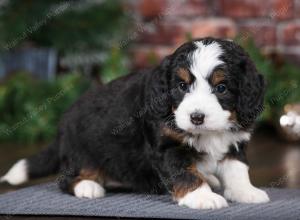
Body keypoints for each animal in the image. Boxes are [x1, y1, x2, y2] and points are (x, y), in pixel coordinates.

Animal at [1, 37, 270, 210]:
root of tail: (62, 124)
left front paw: (246, 192)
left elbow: (237, 169)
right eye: (182, 86)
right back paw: (87, 186)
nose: (196, 117)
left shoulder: (234, 141)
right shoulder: (167, 146)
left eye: (221, 88)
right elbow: (184, 172)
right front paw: (202, 197)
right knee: (67, 178)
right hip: (82, 152)